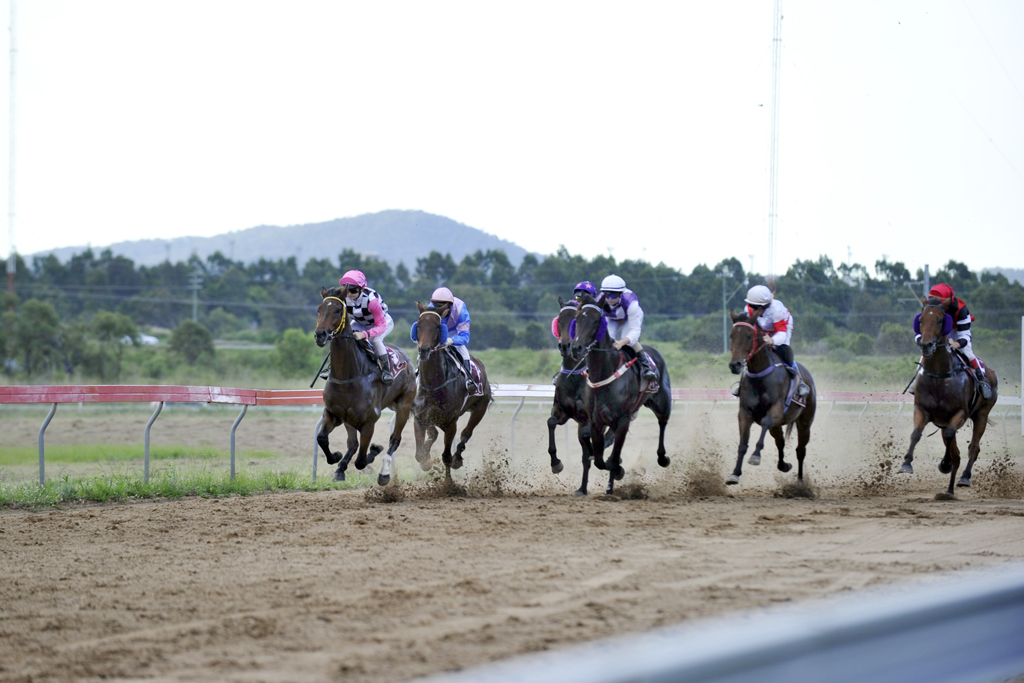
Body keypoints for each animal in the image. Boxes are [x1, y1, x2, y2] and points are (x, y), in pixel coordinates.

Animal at [314, 287, 416, 485]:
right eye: (319, 309)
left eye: (337, 310)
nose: (320, 335)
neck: (349, 376)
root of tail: (407, 360)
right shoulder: (335, 413)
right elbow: (322, 438)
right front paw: (336, 459)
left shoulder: (369, 422)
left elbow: (361, 460)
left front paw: (374, 450)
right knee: (353, 444)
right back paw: (341, 467)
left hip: (404, 406)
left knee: (395, 440)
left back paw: (384, 474)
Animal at [411, 302, 492, 480]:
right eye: (419, 325)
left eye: (437, 326)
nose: (424, 350)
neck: (433, 384)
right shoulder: (420, 418)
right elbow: (419, 454)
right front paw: (427, 461)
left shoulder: (450, 423)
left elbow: (446, 456)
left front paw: (448, 484)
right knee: (434, 434)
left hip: (480, 408)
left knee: (466, 434)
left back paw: (458, 459)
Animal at [569, 292, 671, 496]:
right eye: (577, 319)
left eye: (596, 320)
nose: (576, 348)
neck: (605, 373)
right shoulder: (596, 421)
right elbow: (600, 460)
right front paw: (614, 471)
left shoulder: (623, 420)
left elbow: (614, 457)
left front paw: (618, 470)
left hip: (663, 403)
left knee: (662, 424)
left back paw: (662, 457)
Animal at [726, 311, 816, 486]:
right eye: (731, 335)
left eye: (749, 336)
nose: (735, 365)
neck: (761, 378)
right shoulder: (744, 413)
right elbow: (742, 444)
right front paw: (734, 473)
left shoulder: (776, 411)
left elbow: (765, 424)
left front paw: (755, 456)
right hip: (778, 426)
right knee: (780, 442)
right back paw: (784, 465)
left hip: (805, 423)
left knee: (800, 450)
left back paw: (800, 482)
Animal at [900, 297, 999, 498]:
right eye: (920, 319)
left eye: (940, 320)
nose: (926, 345)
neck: (940, 376)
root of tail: (991, 372)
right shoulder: (922, 410)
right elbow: (916, 433)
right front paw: (906, 464)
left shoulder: (960, 413)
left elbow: (952, 436)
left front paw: (947, 463)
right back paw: (949, 483)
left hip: (982, 414)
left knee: (973, 447)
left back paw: (964, 477)